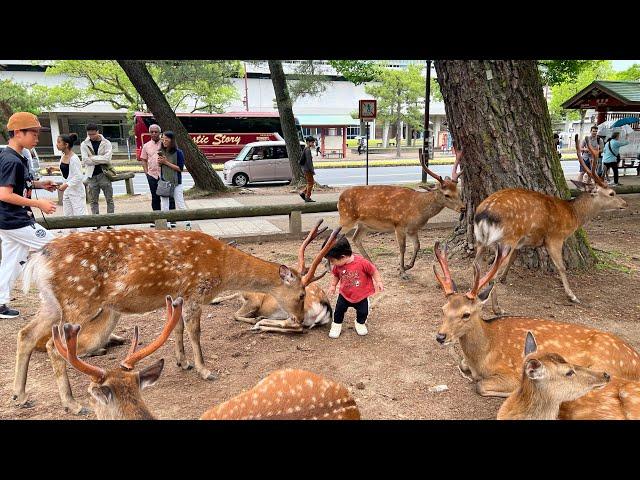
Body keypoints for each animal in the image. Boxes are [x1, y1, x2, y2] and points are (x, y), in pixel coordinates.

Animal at [336, 148, 464, 280]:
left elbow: (417, 245)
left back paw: (371, 263)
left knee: (355, 238)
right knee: (336, 236)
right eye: (447, 195)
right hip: (346, 218)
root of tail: (339, 199)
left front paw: (407, 266)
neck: (418, 208)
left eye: (458, 191)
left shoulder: (413, 229)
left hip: (363, 225)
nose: (463, 208)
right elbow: (402, 248)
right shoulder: (399, 225)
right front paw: (402, 272)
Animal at [430, 244, 640, 398]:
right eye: (443, 309)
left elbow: (480, 386)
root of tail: (635, 360)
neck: (484, 355)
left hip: (605, 365)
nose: (440, 336)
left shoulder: (512, 372)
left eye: (466, 314)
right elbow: (463, 365)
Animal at [472, 135, 628, 316]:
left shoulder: (521, 242)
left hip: (482, 240)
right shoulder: (555, 237)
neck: (574, 214)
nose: (624, 204)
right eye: (612, 193)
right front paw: (572, 296)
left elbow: (514, 258)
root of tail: (484, 213)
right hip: (507, 239)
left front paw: (505, 278)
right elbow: (561, 267)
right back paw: (497, 308)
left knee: (476, 265)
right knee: (491, 272)